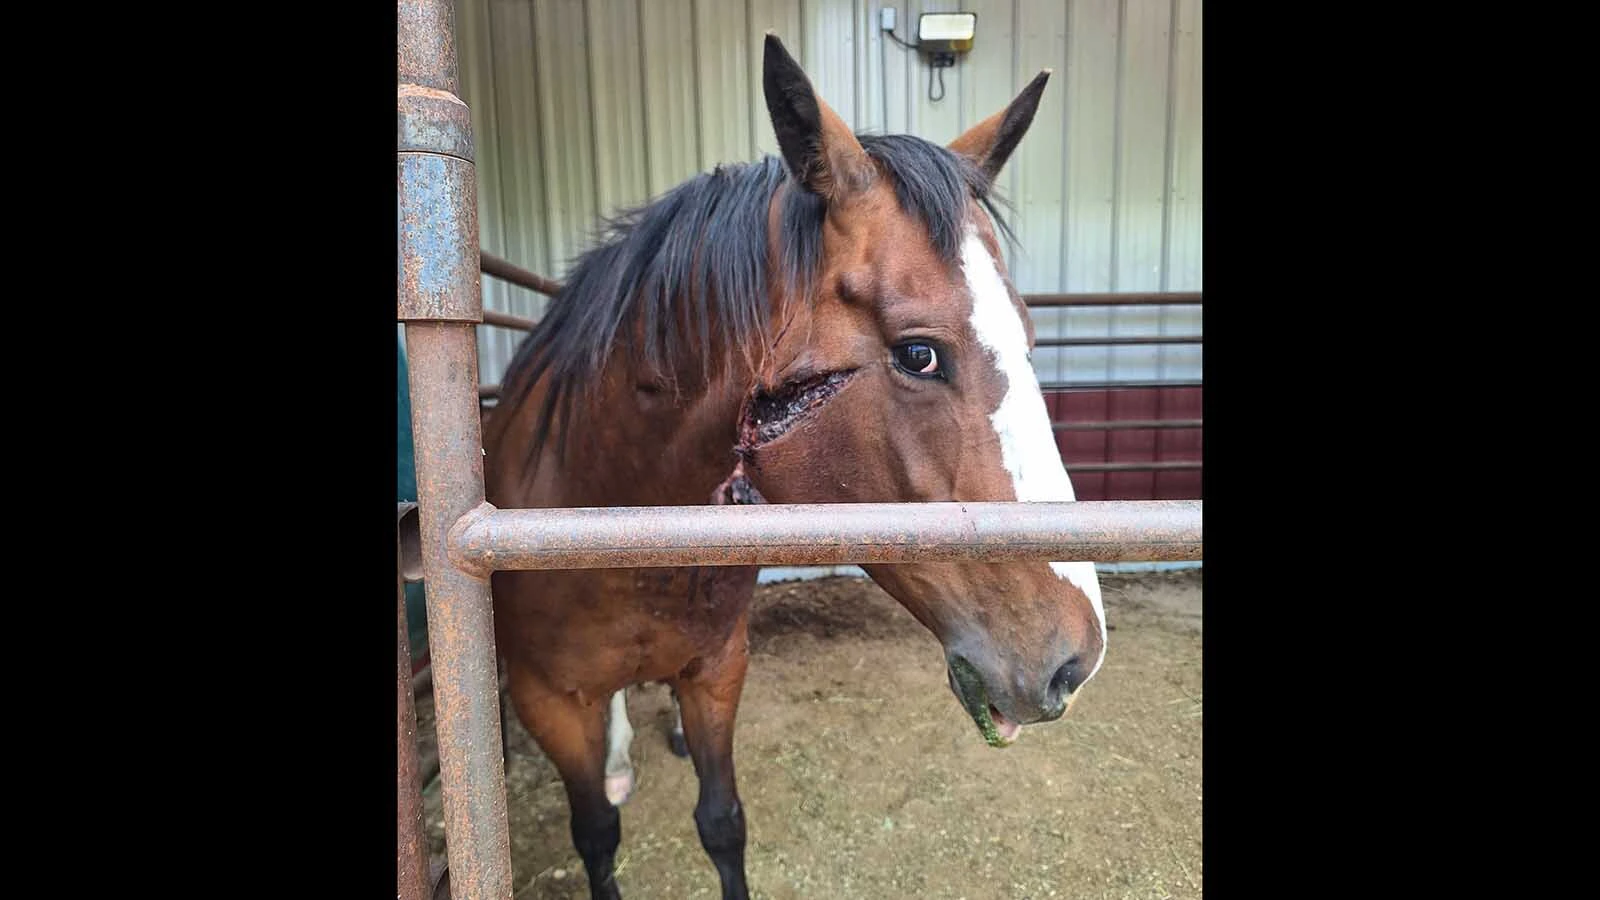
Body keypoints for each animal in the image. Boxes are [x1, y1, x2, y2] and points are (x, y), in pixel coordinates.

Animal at [480, 34, 1107, 900]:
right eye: (919, 354)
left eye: (1029, 340)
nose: (1078, 660)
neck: (606, 508)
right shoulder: (546, 702)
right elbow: (597, 835)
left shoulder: (717, 670)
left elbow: (722, 822)